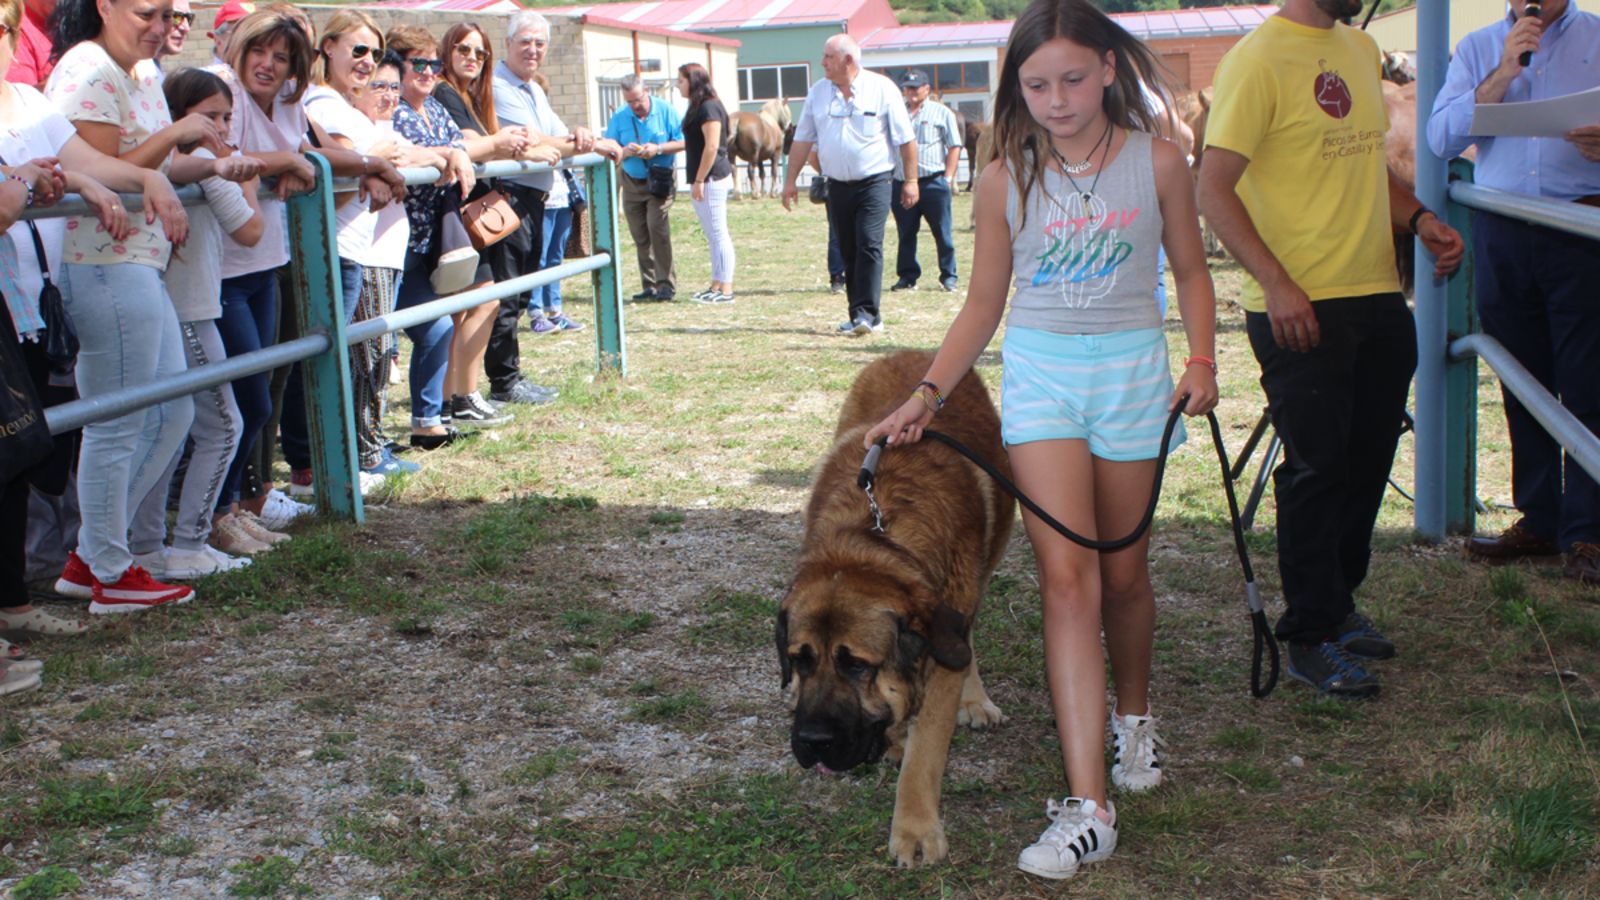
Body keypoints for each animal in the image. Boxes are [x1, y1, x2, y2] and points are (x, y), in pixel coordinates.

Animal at [774, 349, 1011, 864]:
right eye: (800, 661)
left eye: (858, 665)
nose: (812, 743)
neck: (873, 541)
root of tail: (915, 352)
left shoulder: (943, 646)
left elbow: (928, 752)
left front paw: (916, 829)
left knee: (969, 638)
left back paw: (974, 698)